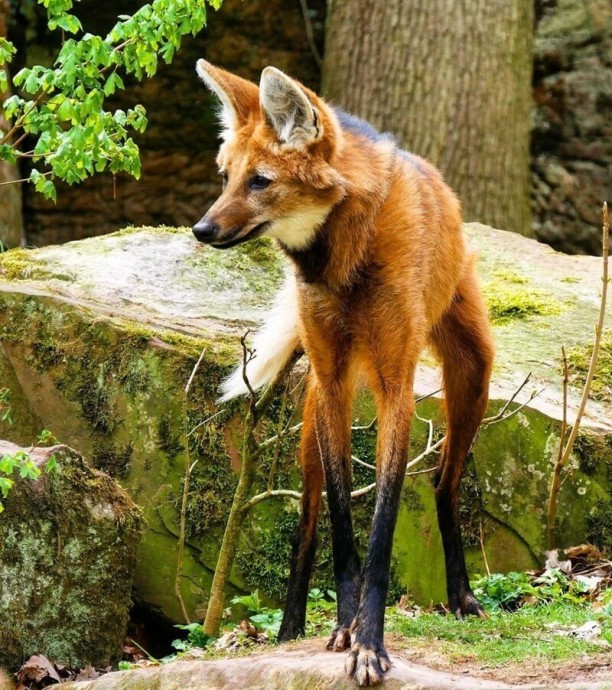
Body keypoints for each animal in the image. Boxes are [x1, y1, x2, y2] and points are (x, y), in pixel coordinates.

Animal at [194, 61, 494, 684]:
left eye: (260, 182)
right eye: (226, 177)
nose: (201, 230)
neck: (345, 257)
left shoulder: (394, 383)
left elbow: (381, 525)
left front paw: (371, 644)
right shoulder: (333, 380)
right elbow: (338, 514)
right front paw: (346, 627)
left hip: (474, 371)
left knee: (444, 482)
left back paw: (461, 595)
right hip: (312, 409)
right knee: (306, 520)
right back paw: (291, 629)